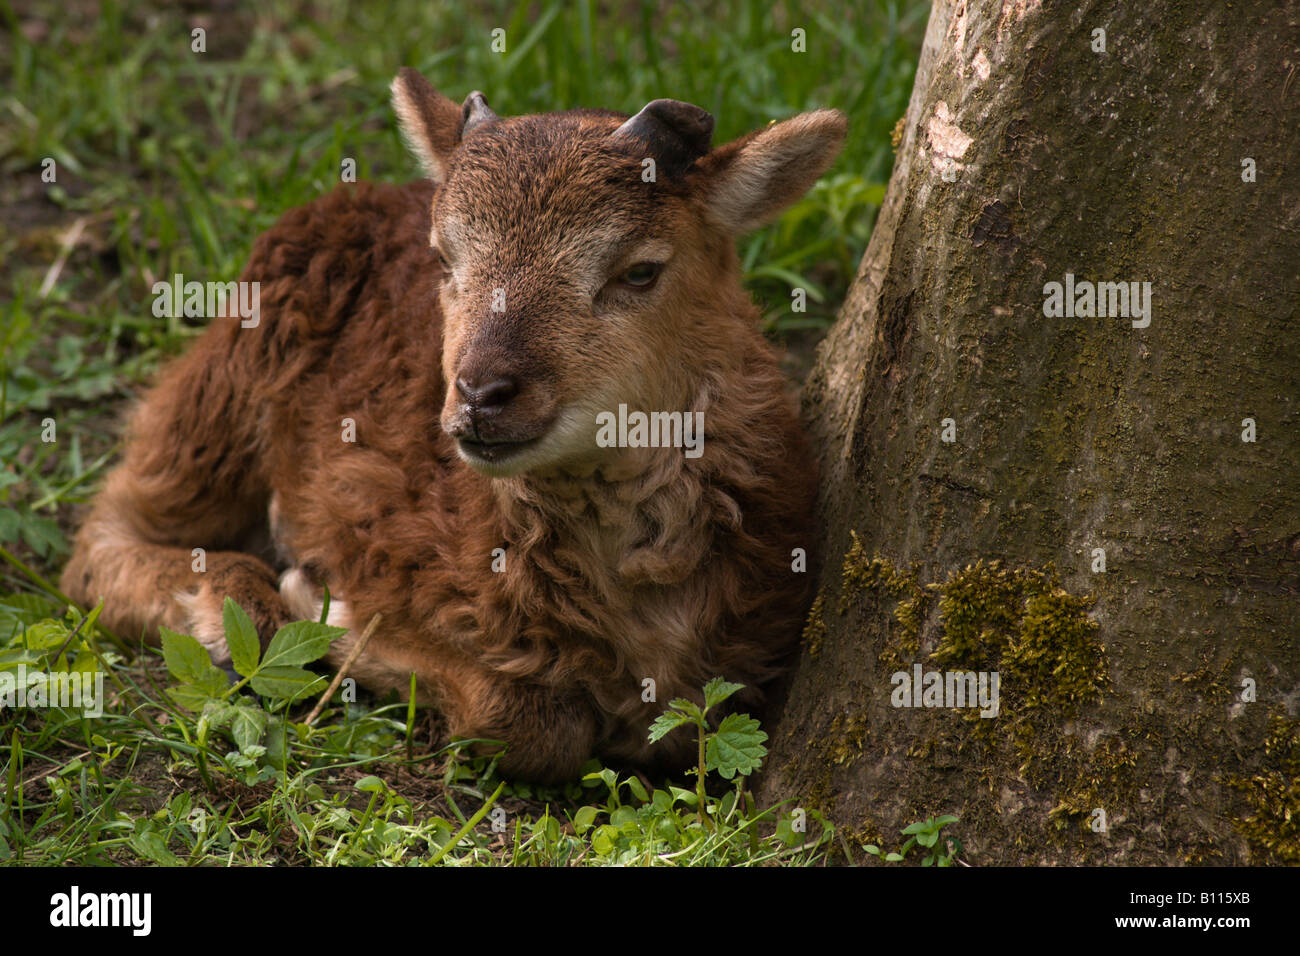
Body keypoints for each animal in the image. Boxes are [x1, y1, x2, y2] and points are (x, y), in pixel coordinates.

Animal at [61, 69, 847, 785]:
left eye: (641, 270)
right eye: (444, 258)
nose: (479, 394)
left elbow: (683, 733)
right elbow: (529, 721)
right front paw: (325, 609)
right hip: (222, 395)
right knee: (101, 540)